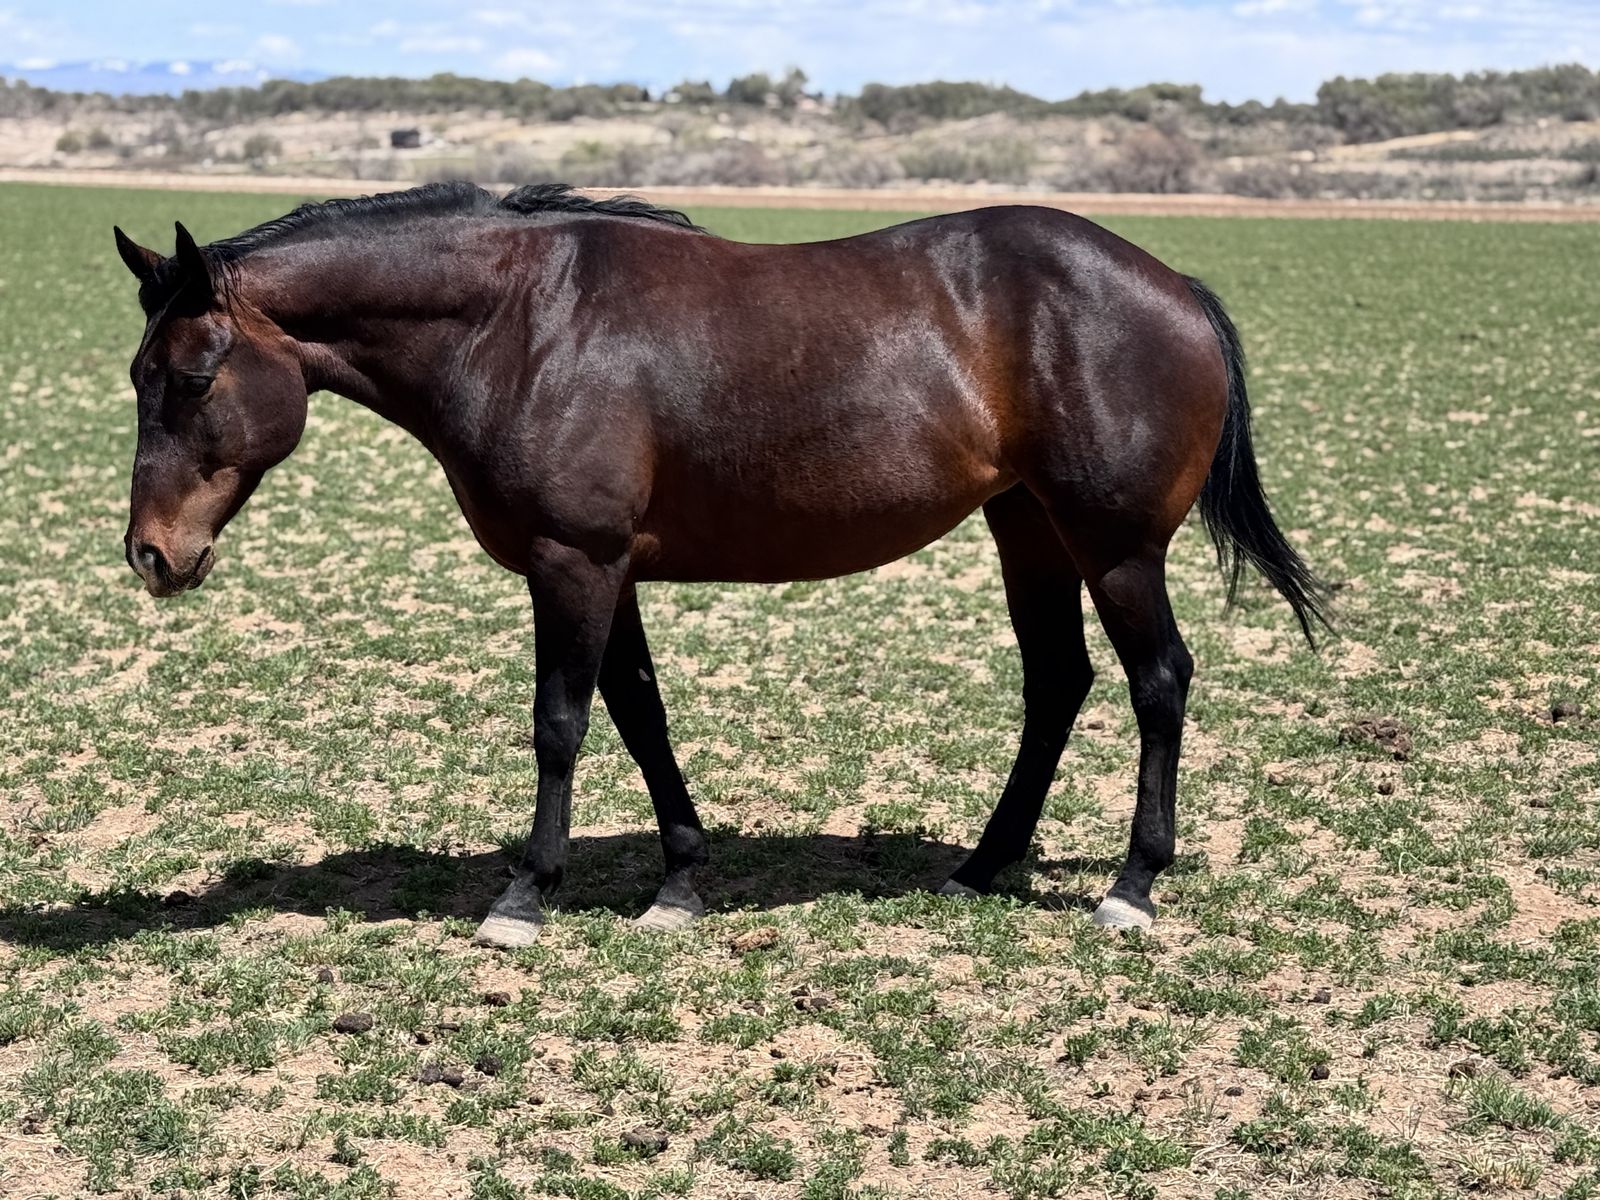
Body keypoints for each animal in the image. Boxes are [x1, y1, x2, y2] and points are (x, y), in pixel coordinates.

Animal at [113, 181, 1327, 948]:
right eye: (138, 373)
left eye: (196, 373)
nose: (151, 555)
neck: (522, 325)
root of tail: (1170, 283)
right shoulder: (608, 570)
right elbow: (641, 716)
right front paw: (681, 884)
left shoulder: (573, 564)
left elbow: (561, 725)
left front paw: (525, 898)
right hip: (1027, 529)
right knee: (1057, 685)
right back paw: (980, 868)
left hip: (1114, 546)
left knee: (1158, 683)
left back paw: (1132, 886)